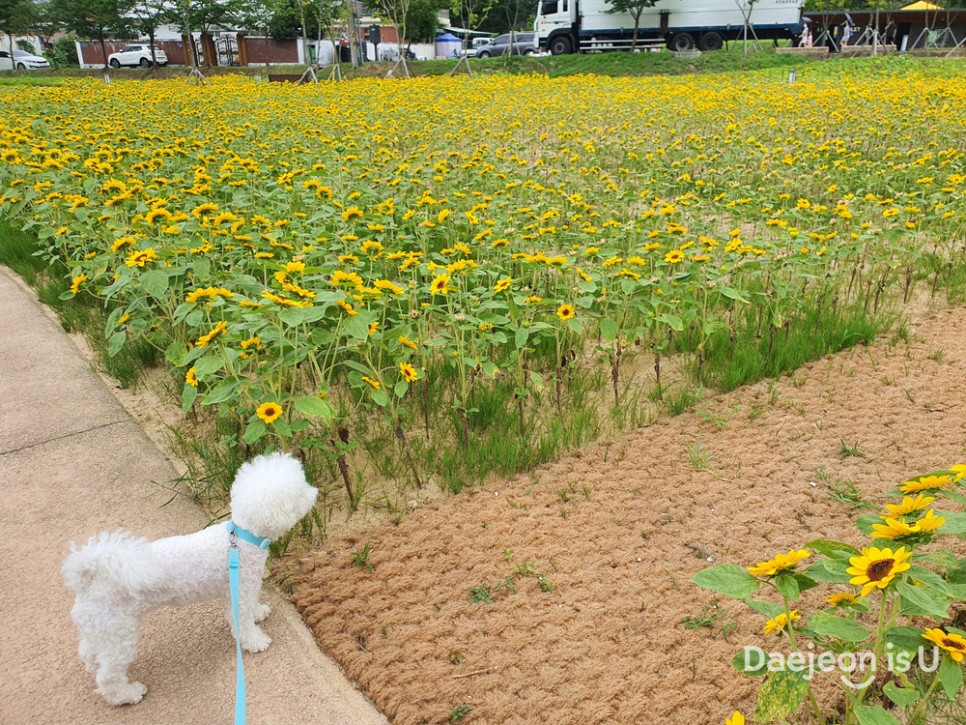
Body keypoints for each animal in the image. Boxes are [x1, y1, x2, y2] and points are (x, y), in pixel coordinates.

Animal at [63, 450, 318, 704]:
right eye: (300, 491)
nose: (315, 491)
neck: (244, 537)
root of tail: (88, 577)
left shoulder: (241, 589)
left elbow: (251, 608)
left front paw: (259, 612)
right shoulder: (241, 591)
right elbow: (243, 623)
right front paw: (256, 641)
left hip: (100, 631)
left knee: (89, 653)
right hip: (119, 636)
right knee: (108, 676)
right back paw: (128, 694)